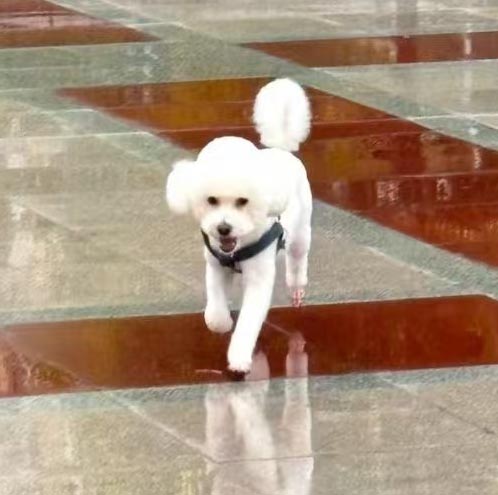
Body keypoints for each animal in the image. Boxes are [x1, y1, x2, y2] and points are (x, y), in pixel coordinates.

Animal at [165, 78, 312, 372]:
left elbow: (249, 321)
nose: (224, 228)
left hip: (302, 229)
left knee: (297, 257)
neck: (236, 248)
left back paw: (297, 288)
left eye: (243, 201)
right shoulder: (215, 266)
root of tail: (280, 150)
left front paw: (241, 359)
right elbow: (214, 312)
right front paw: (222, 324)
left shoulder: (259, 277)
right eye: (211, 200)